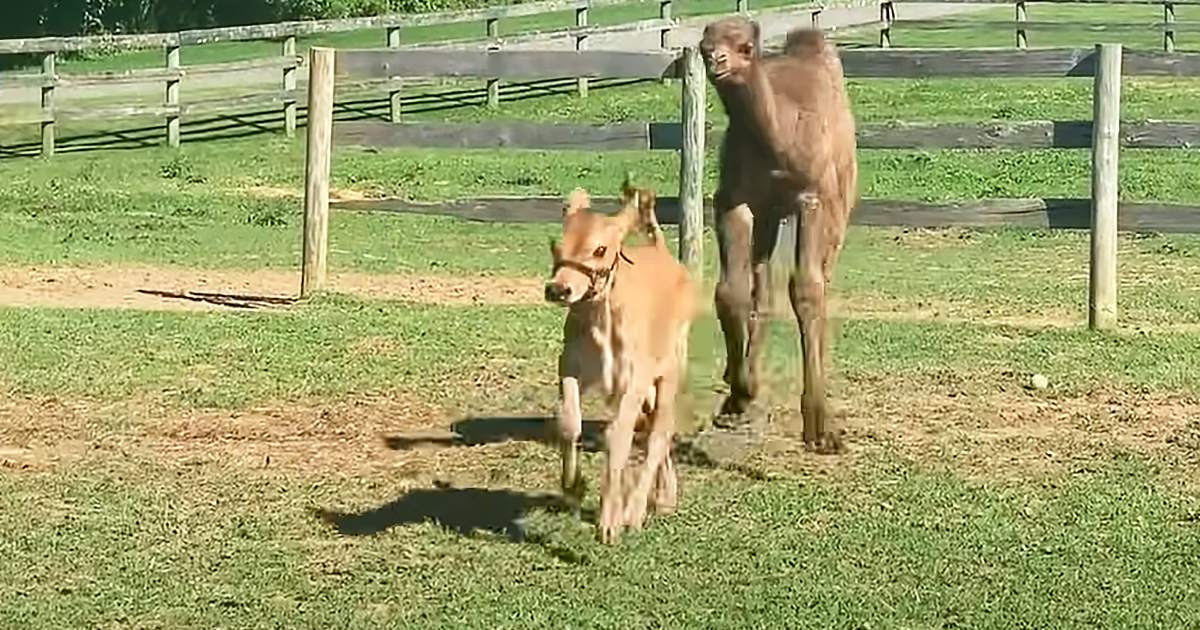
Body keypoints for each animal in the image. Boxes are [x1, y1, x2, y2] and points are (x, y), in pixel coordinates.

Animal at [544, 180, 696, 544]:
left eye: (600, 249)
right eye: (557, 245)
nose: (558, 289)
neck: (603, 320)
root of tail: (662, 253)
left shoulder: (634, 381)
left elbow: (618, 438)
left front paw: (610, 522)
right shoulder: (570, 366)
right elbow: (569, 422)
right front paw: (573, 483)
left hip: (668, 372)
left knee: (658, 434)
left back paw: (636, 510)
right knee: (655, 429)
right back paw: (665, 496)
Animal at [698, 18, 858, 453]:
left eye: (745, 46)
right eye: (704, 45)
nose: (715, 60)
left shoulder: (812, 197)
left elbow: (805, 290)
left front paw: (819, 428)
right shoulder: (734, 198)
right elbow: (731, 291)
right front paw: (739, 394)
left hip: (840, 205)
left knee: (820, 281)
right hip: (769, 215)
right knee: (763, 289)